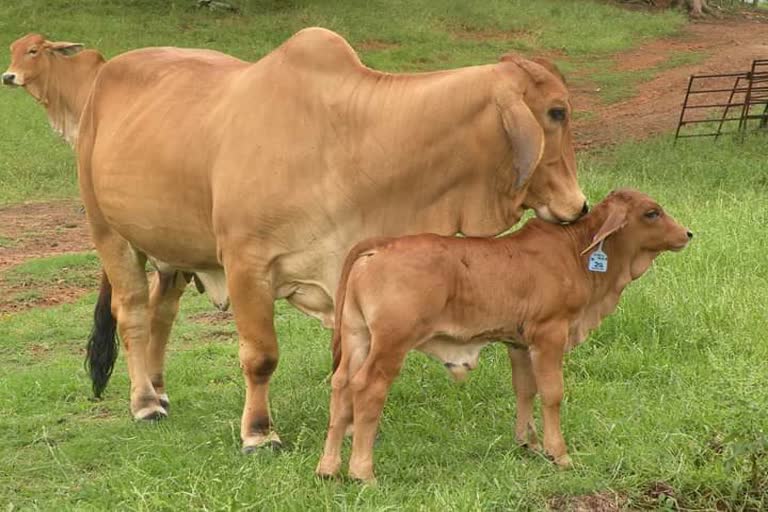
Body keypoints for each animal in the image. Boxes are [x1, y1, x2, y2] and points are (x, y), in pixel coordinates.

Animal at [316, 188, 692, 480]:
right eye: (652, 212)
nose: (688, 234)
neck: (578, 253)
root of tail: (380, 245)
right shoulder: (549, 333)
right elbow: (552, 393)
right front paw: (559, 454)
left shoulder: (519, 342)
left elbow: (525, 389)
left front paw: (529, 443)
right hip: (391, 344)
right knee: (367, 389)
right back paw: (362, 471)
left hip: (357, 336)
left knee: (341, 384)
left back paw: (328, 467)